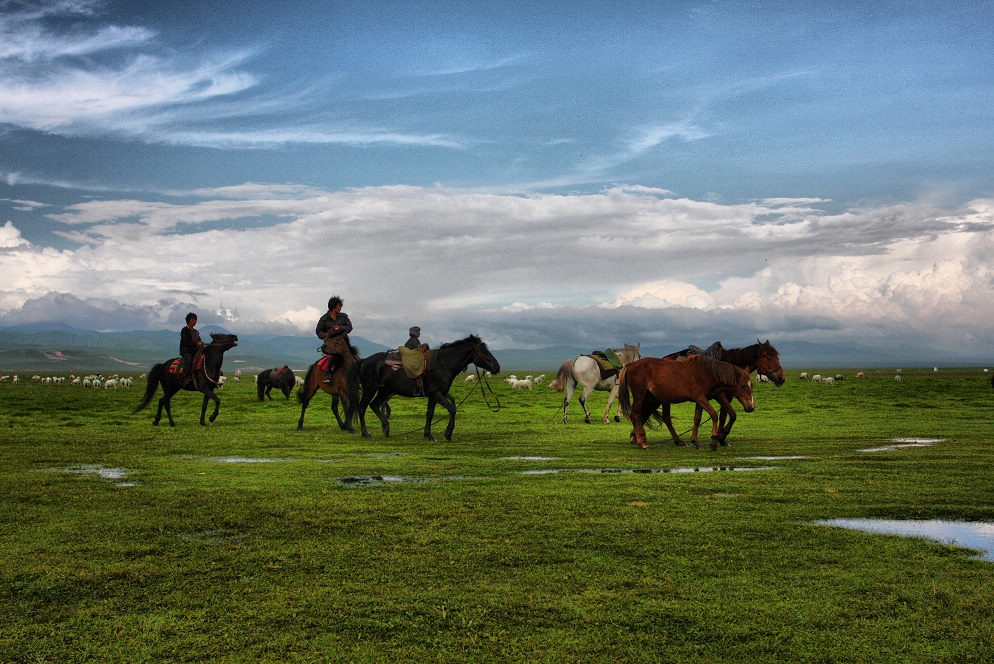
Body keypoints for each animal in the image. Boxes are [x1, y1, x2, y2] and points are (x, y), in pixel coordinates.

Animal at [348, 332, 500, 440]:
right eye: (483, 350)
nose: (497, 367)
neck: (443, 364)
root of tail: (365, 360)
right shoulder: (437, 393)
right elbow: (452, 409)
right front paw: (448, 432)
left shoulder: (434, 395)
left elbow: (430, 413)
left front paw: (428, 435)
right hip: (370, 389)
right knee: (362, 408)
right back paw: (366, 433)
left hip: (384, 390)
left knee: (374, 405)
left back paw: (386, 428)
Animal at [612, 358, 752, 452]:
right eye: (743, 386)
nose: (751, 407)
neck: (706, 372)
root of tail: (632, 364)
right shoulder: (700, 398)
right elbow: (714, 415)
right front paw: (714, 440)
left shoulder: (715, 396)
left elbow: (729, 415)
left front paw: (702, 440)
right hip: (640, 395)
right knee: (635, 415)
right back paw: (642, 442)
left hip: (655, 398)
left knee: (660, 418)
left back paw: (677, 441)